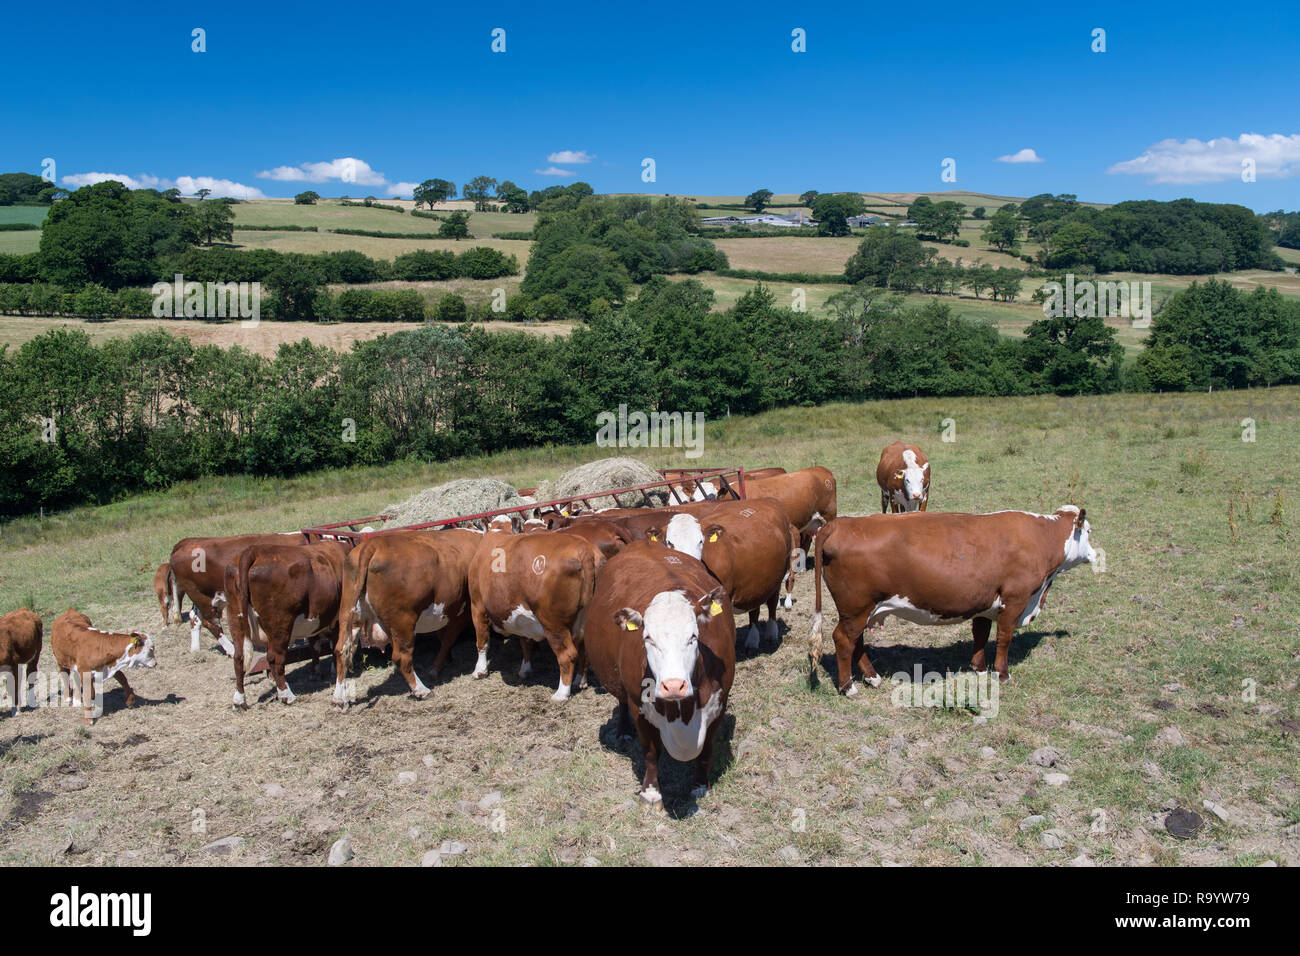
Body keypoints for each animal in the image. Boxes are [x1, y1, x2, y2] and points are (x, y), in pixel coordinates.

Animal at [332, 528, 480, 707]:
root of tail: (373, 544)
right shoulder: (461, 613)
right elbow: (448, 639)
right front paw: (437, 667)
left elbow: (443, 637)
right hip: (403, 622)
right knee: (401, 657)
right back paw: (422, 690)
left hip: (349, 615)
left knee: (342, 650)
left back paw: (339, 699)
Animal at [585, 541, 738, 806]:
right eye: (648, 638)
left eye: (693, 636)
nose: (674, 685)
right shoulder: (639, 706)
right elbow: (650, 752)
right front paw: (651, 791)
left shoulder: (720, 703)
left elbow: (706, 750)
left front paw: (700, 785)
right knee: (621, 701)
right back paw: (623, 732)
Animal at [811, 509, 1097, 697]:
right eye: (1089, 531)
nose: (1095, 555)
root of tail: (839, 524)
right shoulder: (1015, 599)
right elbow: (1004, 638)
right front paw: (1002, 674)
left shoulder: (984, 601)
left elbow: (980, 634)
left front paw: (979, 668)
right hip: (857, 608)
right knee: (844, 640)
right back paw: (848, 687)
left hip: (860, 611)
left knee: (856, 642)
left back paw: (873, 678)